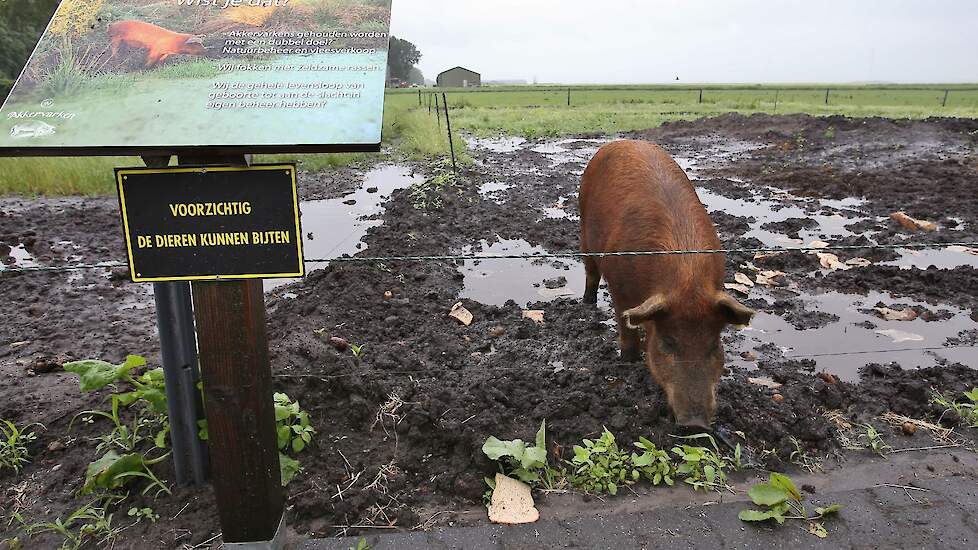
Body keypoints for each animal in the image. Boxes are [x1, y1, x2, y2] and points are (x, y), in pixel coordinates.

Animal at [580, 140, 756, 430]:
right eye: (668, 342)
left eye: (714, 345)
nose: (695, 424)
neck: (686, 280)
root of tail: (622, 141)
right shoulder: (619, 287)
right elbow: (625, 326)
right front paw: (628, 360)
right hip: (584, 230)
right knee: (591, 273)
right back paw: (587, 304)